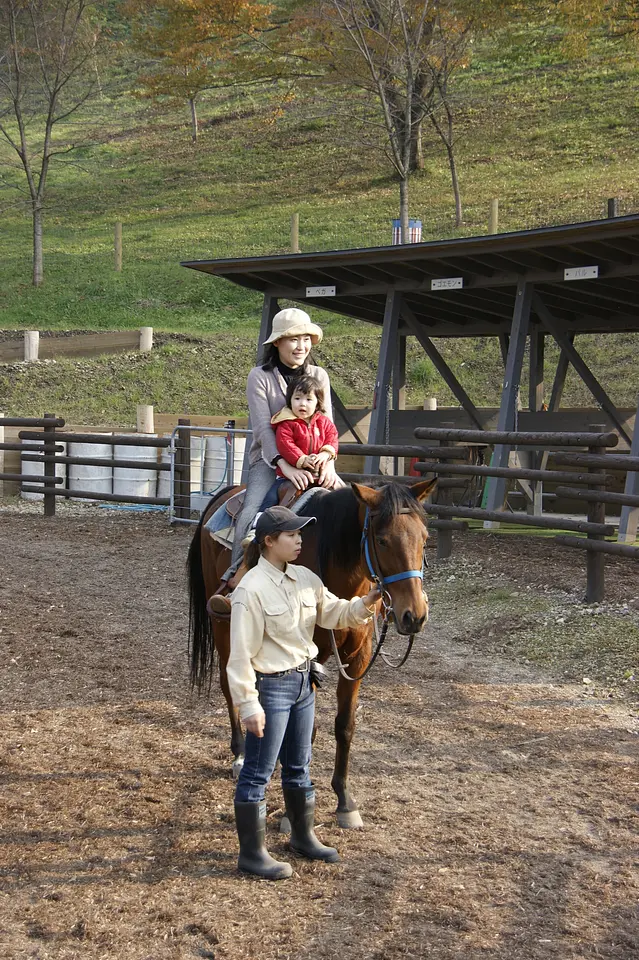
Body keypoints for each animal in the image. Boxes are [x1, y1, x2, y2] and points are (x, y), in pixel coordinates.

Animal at [185, 476, 436, 828]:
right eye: (383, 540)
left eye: (424, 539)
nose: (414, 615)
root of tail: (227, 492)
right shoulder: (306, 657)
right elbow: (306, 730)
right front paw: (295, 811)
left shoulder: (357, 658)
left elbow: (345, 725)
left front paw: (344, 800)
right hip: (225, 626)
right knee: (228, 683)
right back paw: (240, 754)